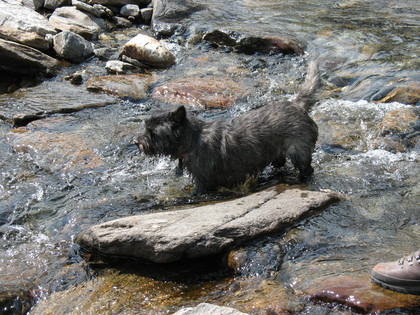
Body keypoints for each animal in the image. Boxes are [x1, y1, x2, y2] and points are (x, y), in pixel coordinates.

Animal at [136, 61, 320, 195]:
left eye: (152, 132)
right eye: (146, 127)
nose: (137, 142)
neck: (193, 141)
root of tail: (297, 105)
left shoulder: (204, 181)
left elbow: (199, 191)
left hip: (299, 151)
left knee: (306, 168)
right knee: (280, 161)